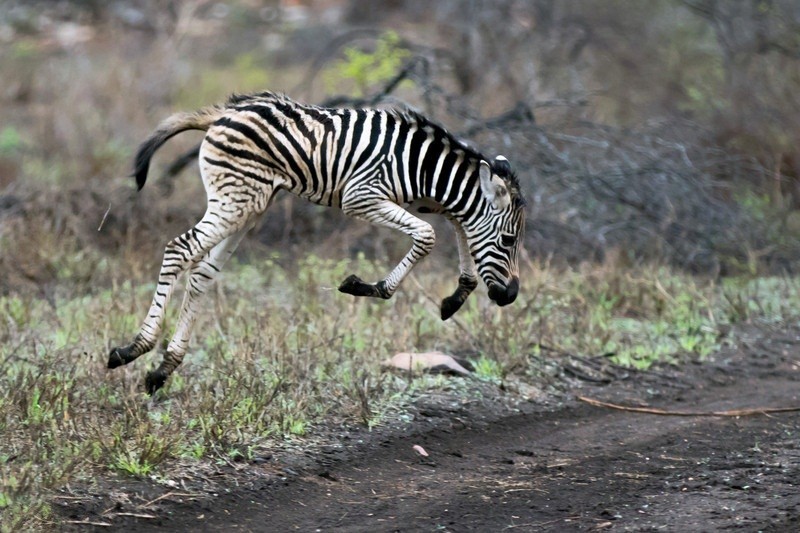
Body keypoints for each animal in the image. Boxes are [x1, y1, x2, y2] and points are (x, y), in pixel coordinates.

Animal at [109, 90, 528, 390]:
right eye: (509, 241)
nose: (510, 296)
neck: (421, 167)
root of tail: (225, 112)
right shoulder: (361, 195)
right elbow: (427, 235)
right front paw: (367, 287)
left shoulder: (431, 201)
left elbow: (461, 224)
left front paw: (456, 296)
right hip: (236, 198)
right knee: (180, 249)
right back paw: (133, 349)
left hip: (249, 205)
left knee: (202, 273)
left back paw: (163, 369)